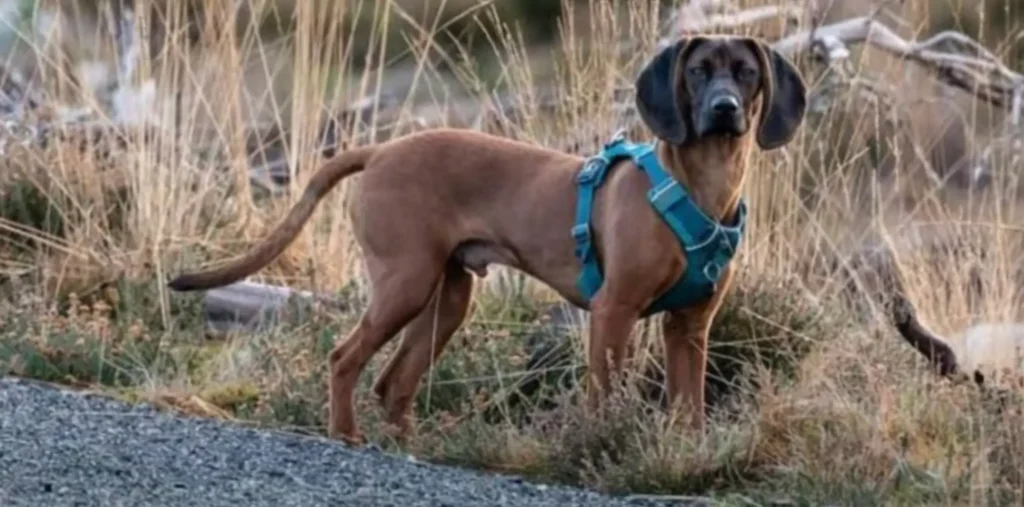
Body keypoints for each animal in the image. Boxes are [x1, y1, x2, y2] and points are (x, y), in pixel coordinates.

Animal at [167, 35, 806, 446]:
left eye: (745, 72)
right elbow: (605, 396)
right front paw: (606, 444)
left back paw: (407, 446)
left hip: (446, 300)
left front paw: (688, 455)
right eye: (697, 71)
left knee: (393, 383)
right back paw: (345, 435)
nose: (724, 109)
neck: (700, 186)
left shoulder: (690, 328)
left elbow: (689, 407)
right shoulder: (613, 311)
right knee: (345, 359)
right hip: (404, 284)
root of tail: (380, 149)